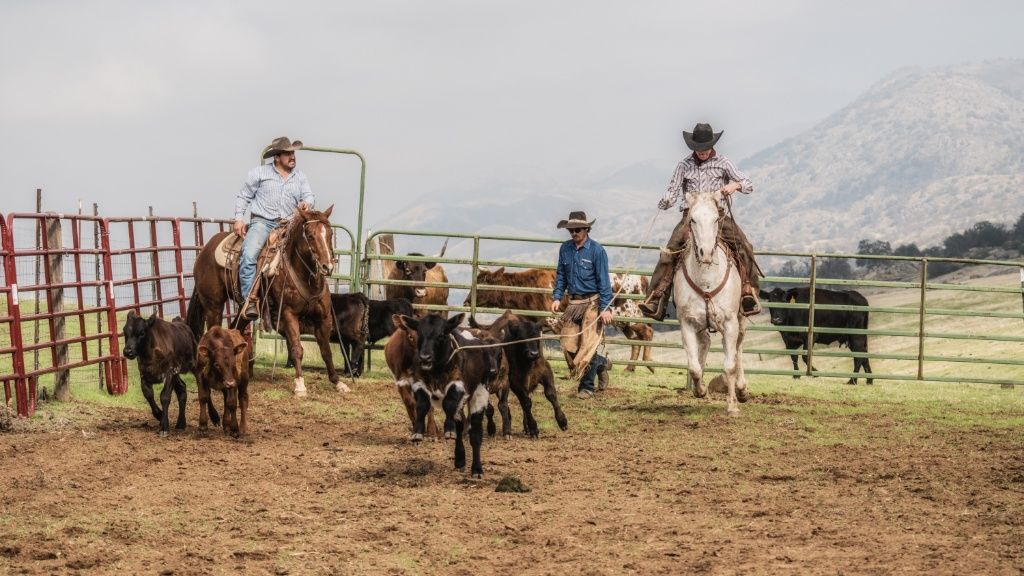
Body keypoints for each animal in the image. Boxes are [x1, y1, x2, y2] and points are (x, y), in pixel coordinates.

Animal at [184, 204, 344, 393]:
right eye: (310, 235)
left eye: (330, 234)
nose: (327, 267)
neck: (305, 276)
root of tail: (204, 251)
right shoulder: (288, 314)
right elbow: (297, 348)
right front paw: (300, 385)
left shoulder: (324, 317)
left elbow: (326, 350)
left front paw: (338, 381)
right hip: (213, 305)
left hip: (243, 311)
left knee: (234, 328)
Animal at [671, 190, 753, 414]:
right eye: (692, 219)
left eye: (717, 218)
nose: (706, 253)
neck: (707, 280)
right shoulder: (687, 323)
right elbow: (693, 367)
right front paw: (700, 390)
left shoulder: (730, 323)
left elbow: (730, 365)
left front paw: (732, 406)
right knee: (706, 342)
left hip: (740, 320)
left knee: (738, 349)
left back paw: (742, 390)